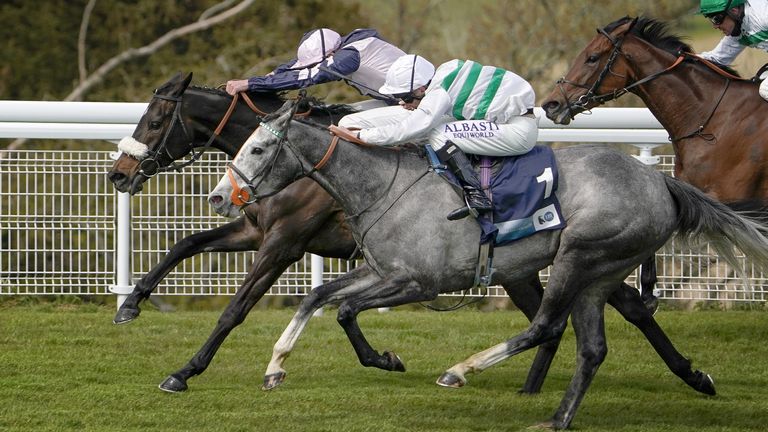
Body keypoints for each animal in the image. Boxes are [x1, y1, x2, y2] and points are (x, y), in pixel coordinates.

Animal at [111, 73, 716, 402]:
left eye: (156, 119)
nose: (119, 173)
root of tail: (656, 182)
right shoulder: (259, 230)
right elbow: (187, 245)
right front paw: (131, 305)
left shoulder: (287, 242)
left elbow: (238, 308)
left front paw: (184, 371)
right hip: (530, 267)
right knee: (572, 315)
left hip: (566, 259)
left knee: (595, 313)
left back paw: (690, 375)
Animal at [207, 100, 768, 428]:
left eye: (258, 147)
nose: (217, 197)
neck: (384, 185)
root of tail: (661, 181)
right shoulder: (384, 270)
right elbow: (318, 297)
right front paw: (276, 367)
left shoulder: (419, 281)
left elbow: (344, 310)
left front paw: (384, 359)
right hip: (600, 272)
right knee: (591, 348)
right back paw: (558, 419)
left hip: (581, 255)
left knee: (547, 325)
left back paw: (461, 370)